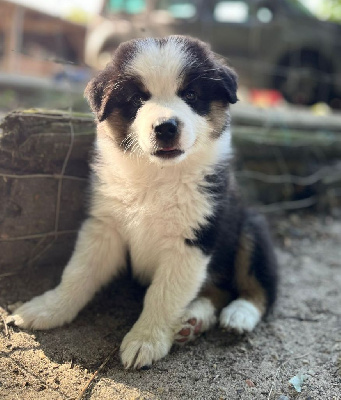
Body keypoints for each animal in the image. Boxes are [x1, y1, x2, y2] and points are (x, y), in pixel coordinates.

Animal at [10, 36, 276, 368]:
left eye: (191, 94)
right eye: (137, 99)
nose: (166, 127)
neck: (157, 177)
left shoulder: (191, 239)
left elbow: (163, 294)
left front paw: (145, 341)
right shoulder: (105, 227)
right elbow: (78, 272)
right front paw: (48, 308)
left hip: (252, 227)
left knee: (258, 287)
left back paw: (238, 314)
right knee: (217, 290)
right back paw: (193, 321)